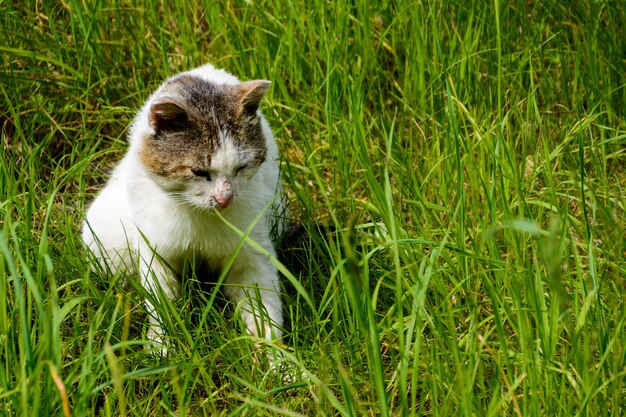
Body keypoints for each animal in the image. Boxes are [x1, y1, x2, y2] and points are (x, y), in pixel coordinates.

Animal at [80, 63, 282, 352]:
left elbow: (264, 309)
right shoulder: (155, 251)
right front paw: (161, 348)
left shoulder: (252, 252)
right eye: (199, 172)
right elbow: (161, 303)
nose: (225, 199)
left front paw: (277, 358)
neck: (201, 218)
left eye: (241, 168)